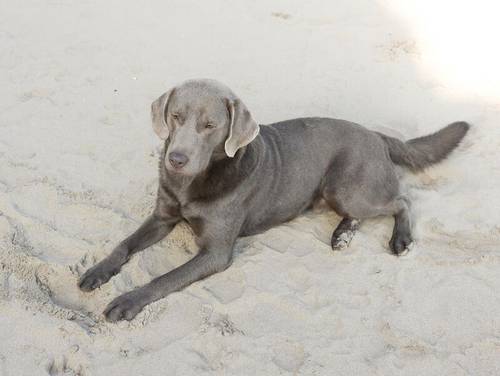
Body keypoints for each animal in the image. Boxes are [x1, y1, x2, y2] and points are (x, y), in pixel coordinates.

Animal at [78, 78, 468, 320]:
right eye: (175, 116)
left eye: (210, 125)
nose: (176, 159)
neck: (193, 184)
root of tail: (376, 134)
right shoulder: (163, 217)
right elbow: (123, 245)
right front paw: (97, 272)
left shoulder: (215, 253)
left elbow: (164, 279)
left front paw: (126, 301)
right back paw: (341, 235)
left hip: (345, 186)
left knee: (402, 200)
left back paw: (400, 239)